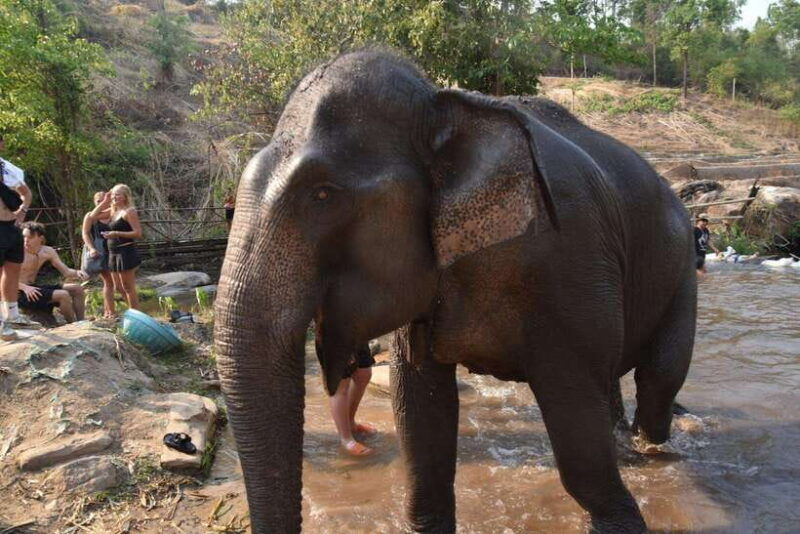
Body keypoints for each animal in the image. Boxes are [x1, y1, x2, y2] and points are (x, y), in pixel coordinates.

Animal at [215, 49, 696, 534]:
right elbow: (420, 409)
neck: (443, 105)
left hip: (681, 267)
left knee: (658, 376)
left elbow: (575, 417)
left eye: (322, 194)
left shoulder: (572, 256)